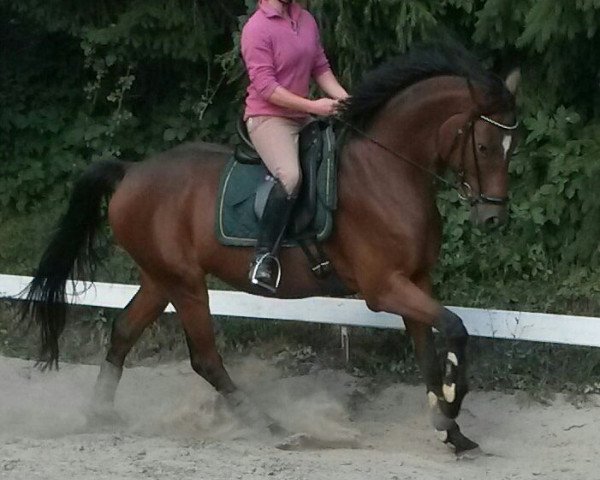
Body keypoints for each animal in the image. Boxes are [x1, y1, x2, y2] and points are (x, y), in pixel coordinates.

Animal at [22, 42, 520, 454]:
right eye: (483, 145)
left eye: (511, 148)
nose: (493, 218)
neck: (387, 172)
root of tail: (131, 172)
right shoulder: (385, 288)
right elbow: (455, 328)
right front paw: (452, 403)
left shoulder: (415, 280)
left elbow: (427, 354)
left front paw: (450, 430)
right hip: (185, 284)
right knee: (205, 358)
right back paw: (270, 425)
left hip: (160, 278)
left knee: (124, 331)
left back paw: (100, 414)